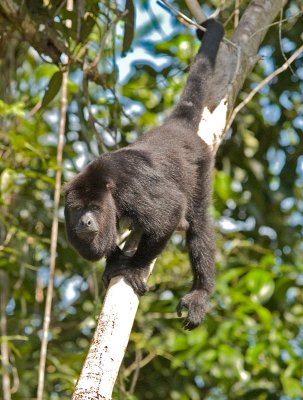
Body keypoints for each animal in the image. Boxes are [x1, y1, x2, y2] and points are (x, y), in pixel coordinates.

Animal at [64, 18, 226, 330]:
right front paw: (113, 261)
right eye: (77, 209)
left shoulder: (132, 187)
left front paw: (134, 268)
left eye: (94, 208)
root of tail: (176, 127)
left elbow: (170, 210)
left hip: (201, 164)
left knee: (198, 222)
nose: (86, 221)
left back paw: (200, 292)